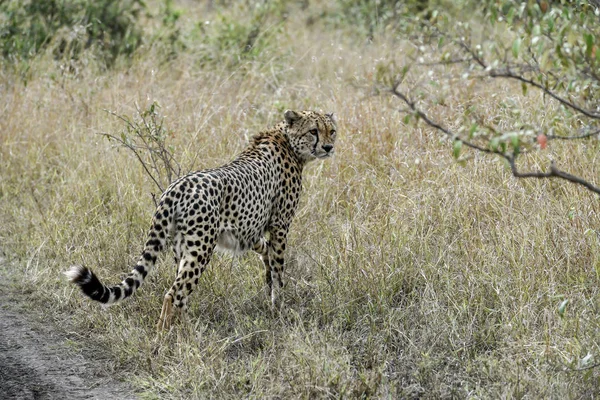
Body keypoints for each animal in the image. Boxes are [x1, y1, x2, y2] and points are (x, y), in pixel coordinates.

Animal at [67, 110, 338, 332]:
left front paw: (270, 285)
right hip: (201, 248)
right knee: (174, 294)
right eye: (313, 131)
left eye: (331, 131)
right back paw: (163, 342)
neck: (287, 141)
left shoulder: (250, 231)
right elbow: (279, 267)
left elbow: (267, 256)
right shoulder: (280, 225)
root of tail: (177, 186)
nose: (328, 147)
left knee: (181, 295)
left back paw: (184, 331)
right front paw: (278, 307)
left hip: (182, 247)